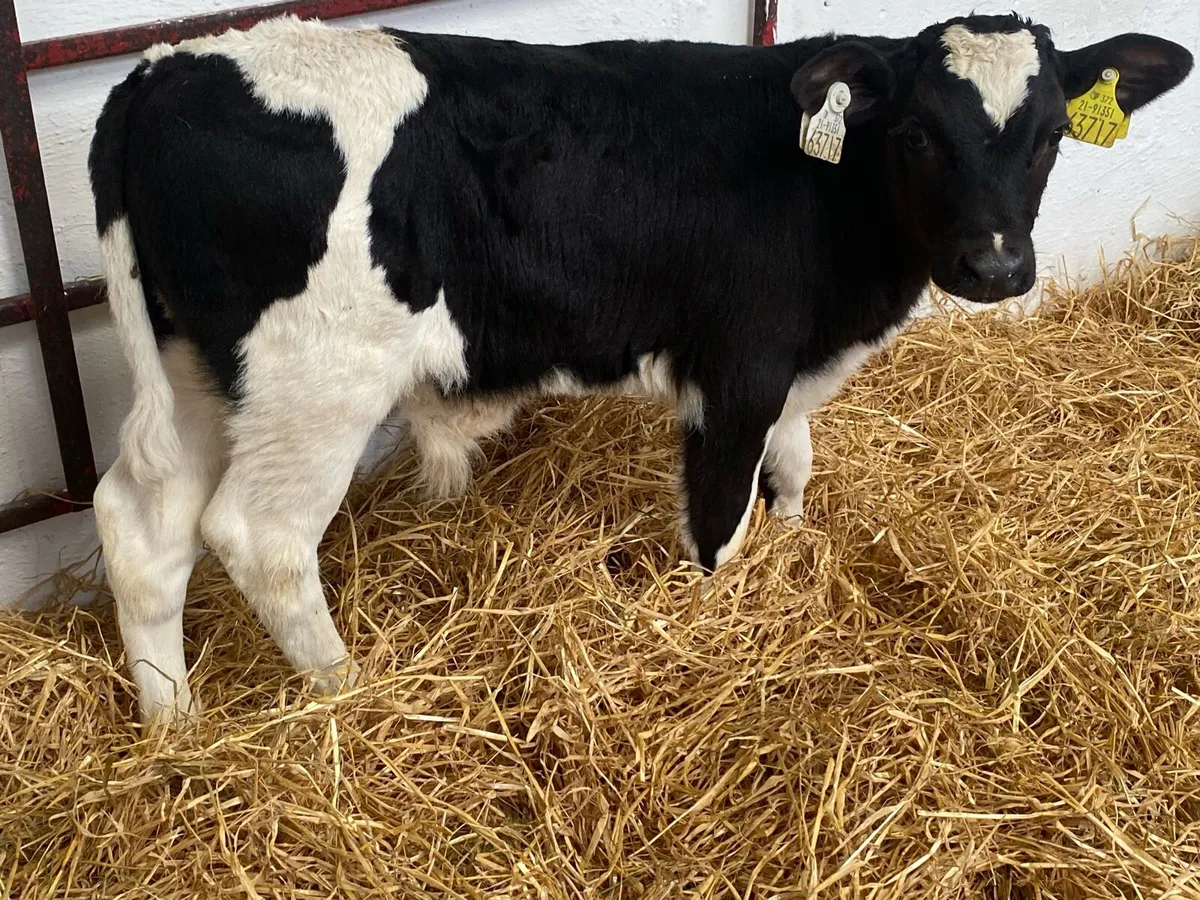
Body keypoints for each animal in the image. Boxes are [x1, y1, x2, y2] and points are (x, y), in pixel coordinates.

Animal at [87, 13, 1192, 722]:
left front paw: (798, 548)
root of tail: (164, 70)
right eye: (918, 133)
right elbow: (720, 524)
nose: (996, 267)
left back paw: (175, 724)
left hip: (198, 371)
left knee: (143, 525)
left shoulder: (789, 373)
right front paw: (715, 629)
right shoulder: (737, 369)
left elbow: (794, 470)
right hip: (315, 383)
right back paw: (345, 693)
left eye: (1050, 137)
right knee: (260, 537)